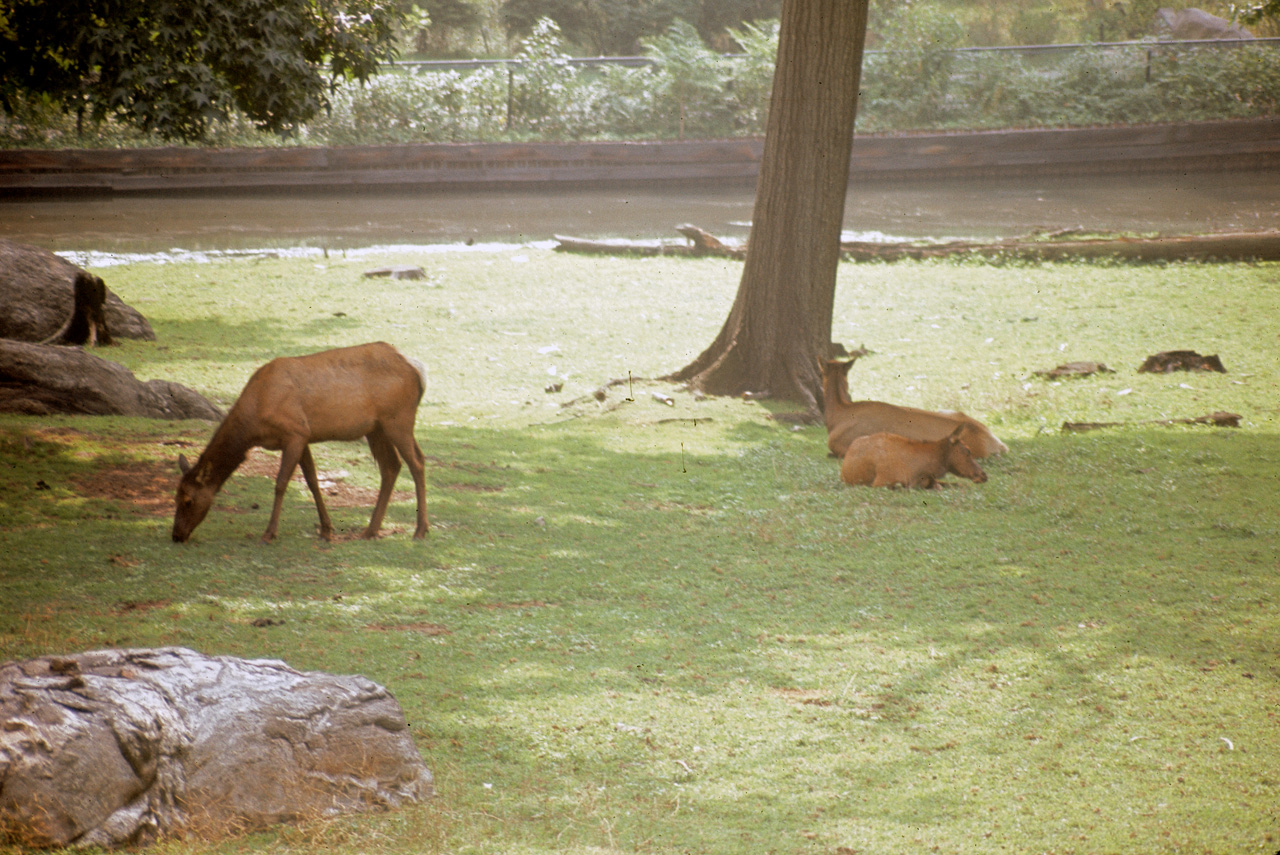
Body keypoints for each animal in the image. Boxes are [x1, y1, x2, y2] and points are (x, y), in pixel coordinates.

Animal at [170, 340, 432, 540]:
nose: (176, 535)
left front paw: (270, 533)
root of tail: (419, 372)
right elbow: (312, 481)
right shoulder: (304, 436)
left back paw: (420, 530)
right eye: (175, 497)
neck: (253, 422)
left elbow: (281, 483)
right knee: (392, 466)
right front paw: (326, 529)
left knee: (417, 462)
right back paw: (371, 530)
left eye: (188, 500)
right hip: (376, 428)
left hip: (398, 419)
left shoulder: (294, 432)